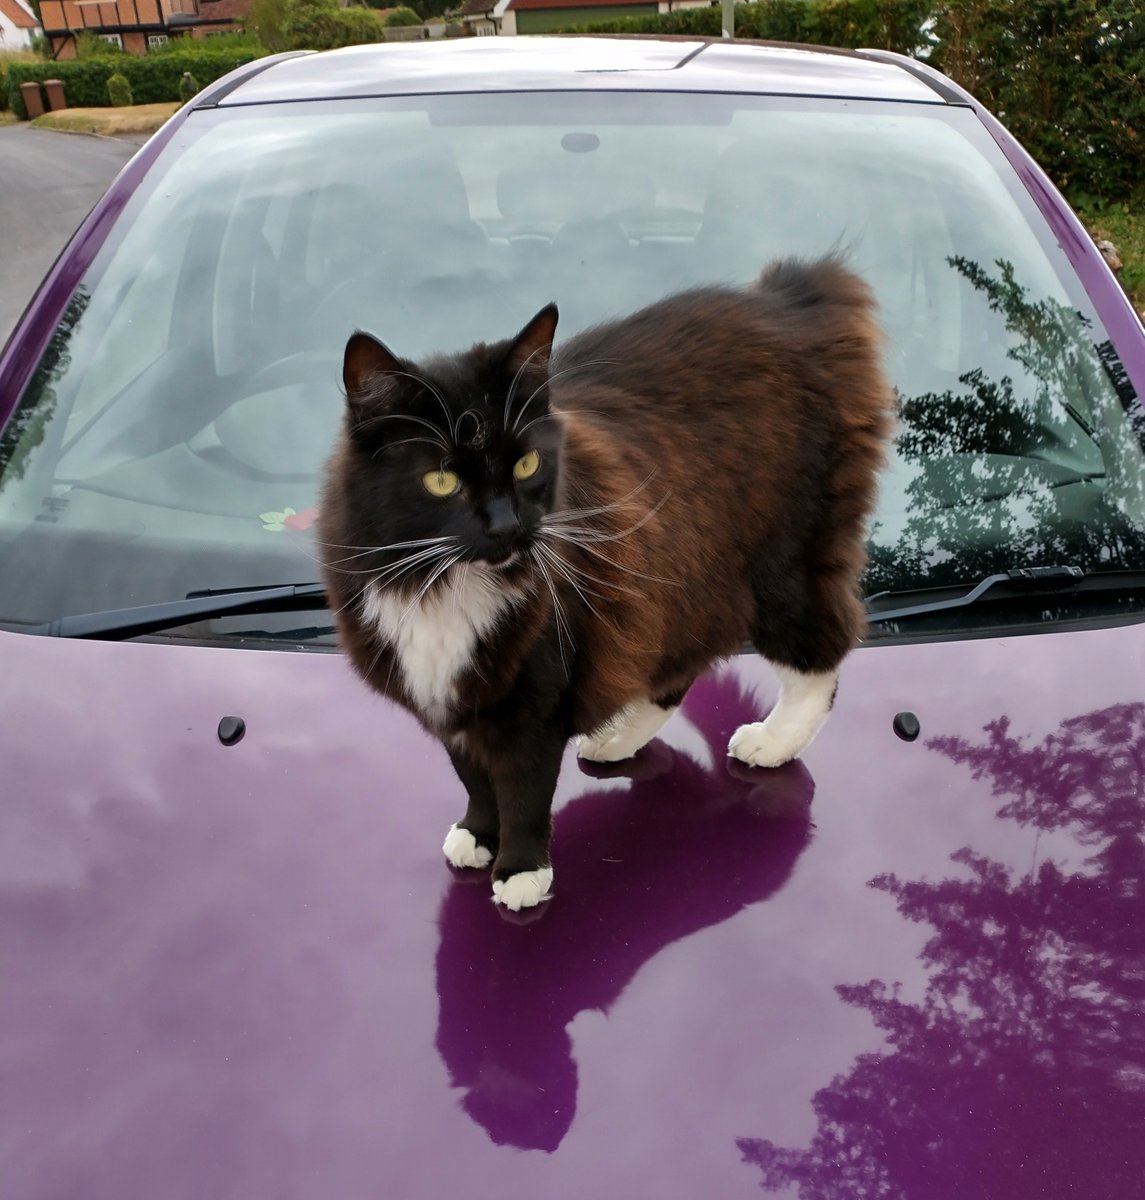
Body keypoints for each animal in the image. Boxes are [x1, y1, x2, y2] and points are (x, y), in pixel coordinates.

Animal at [314, 253, 892, 907]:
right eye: (442, 481)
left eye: (525, 463)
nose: (509, 526)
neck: (447, 585)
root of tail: (789, 299)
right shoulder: (452, 702)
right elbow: (474, 779)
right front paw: (479, 835)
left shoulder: (536, 698)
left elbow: (524, 788)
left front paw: (520, 869)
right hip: (684, 576)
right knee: (676, 665)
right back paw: (619, 736)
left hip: (779, 562)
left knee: (823, 650)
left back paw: (775, 740)